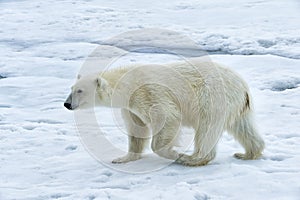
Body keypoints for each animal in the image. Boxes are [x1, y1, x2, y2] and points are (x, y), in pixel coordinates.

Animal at [64, 59, 264, 166]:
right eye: (72, 88)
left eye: (80, 91)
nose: (66, 104)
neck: (127, 84)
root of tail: (242, 85)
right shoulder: (130, 106)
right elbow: (137, 129)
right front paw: (122, 158)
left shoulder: (149, 93)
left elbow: (167, 117)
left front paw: (175, 154)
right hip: (237, 106)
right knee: (244, 127)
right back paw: (248, 153)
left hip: (211, 98)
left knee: (206, 129)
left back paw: (192, 159)